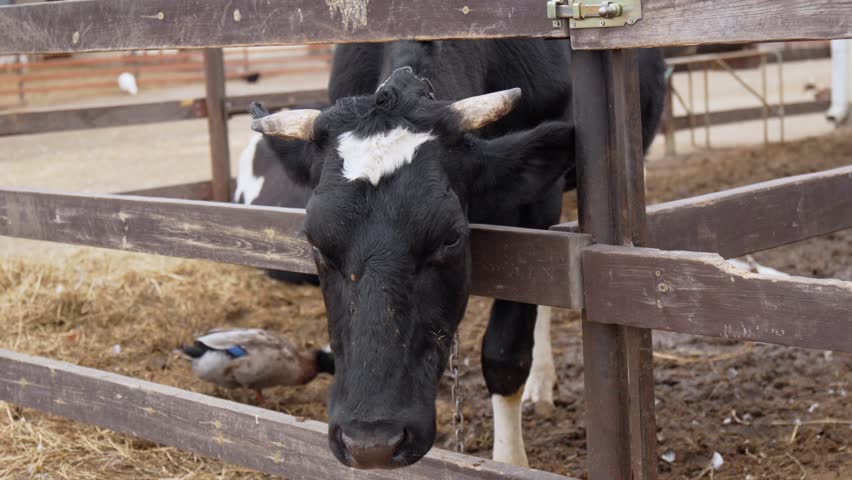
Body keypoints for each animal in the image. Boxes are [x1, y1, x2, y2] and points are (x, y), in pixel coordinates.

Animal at [238, 39, 666, 469]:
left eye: (450, 238)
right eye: (315, 241)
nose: (370, 443)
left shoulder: (536, 206)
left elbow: (506, 351)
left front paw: (509, 463)